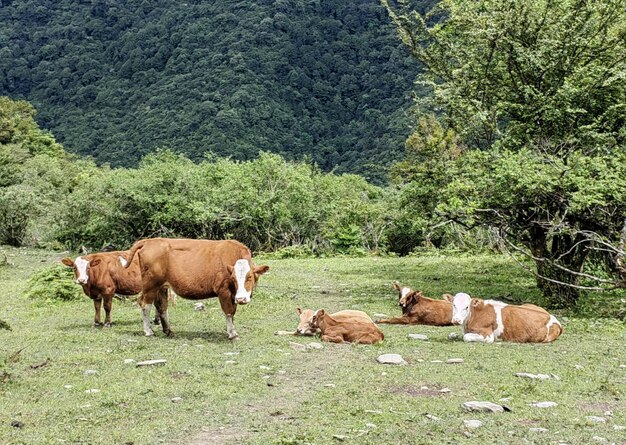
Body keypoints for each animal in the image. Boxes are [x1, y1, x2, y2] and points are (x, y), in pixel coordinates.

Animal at [122, 238, 268, 338]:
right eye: (233, 278)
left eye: (250, 277)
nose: (241, 298)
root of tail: (150, 241)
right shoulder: (224, 291)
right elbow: (229, 311)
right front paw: (232, 333)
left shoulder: (233, 294)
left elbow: (233, 312)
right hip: (150, 286)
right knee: (144, 304)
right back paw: (148, 331)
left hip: (161, 287)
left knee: (161, 306)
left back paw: (168, 331)